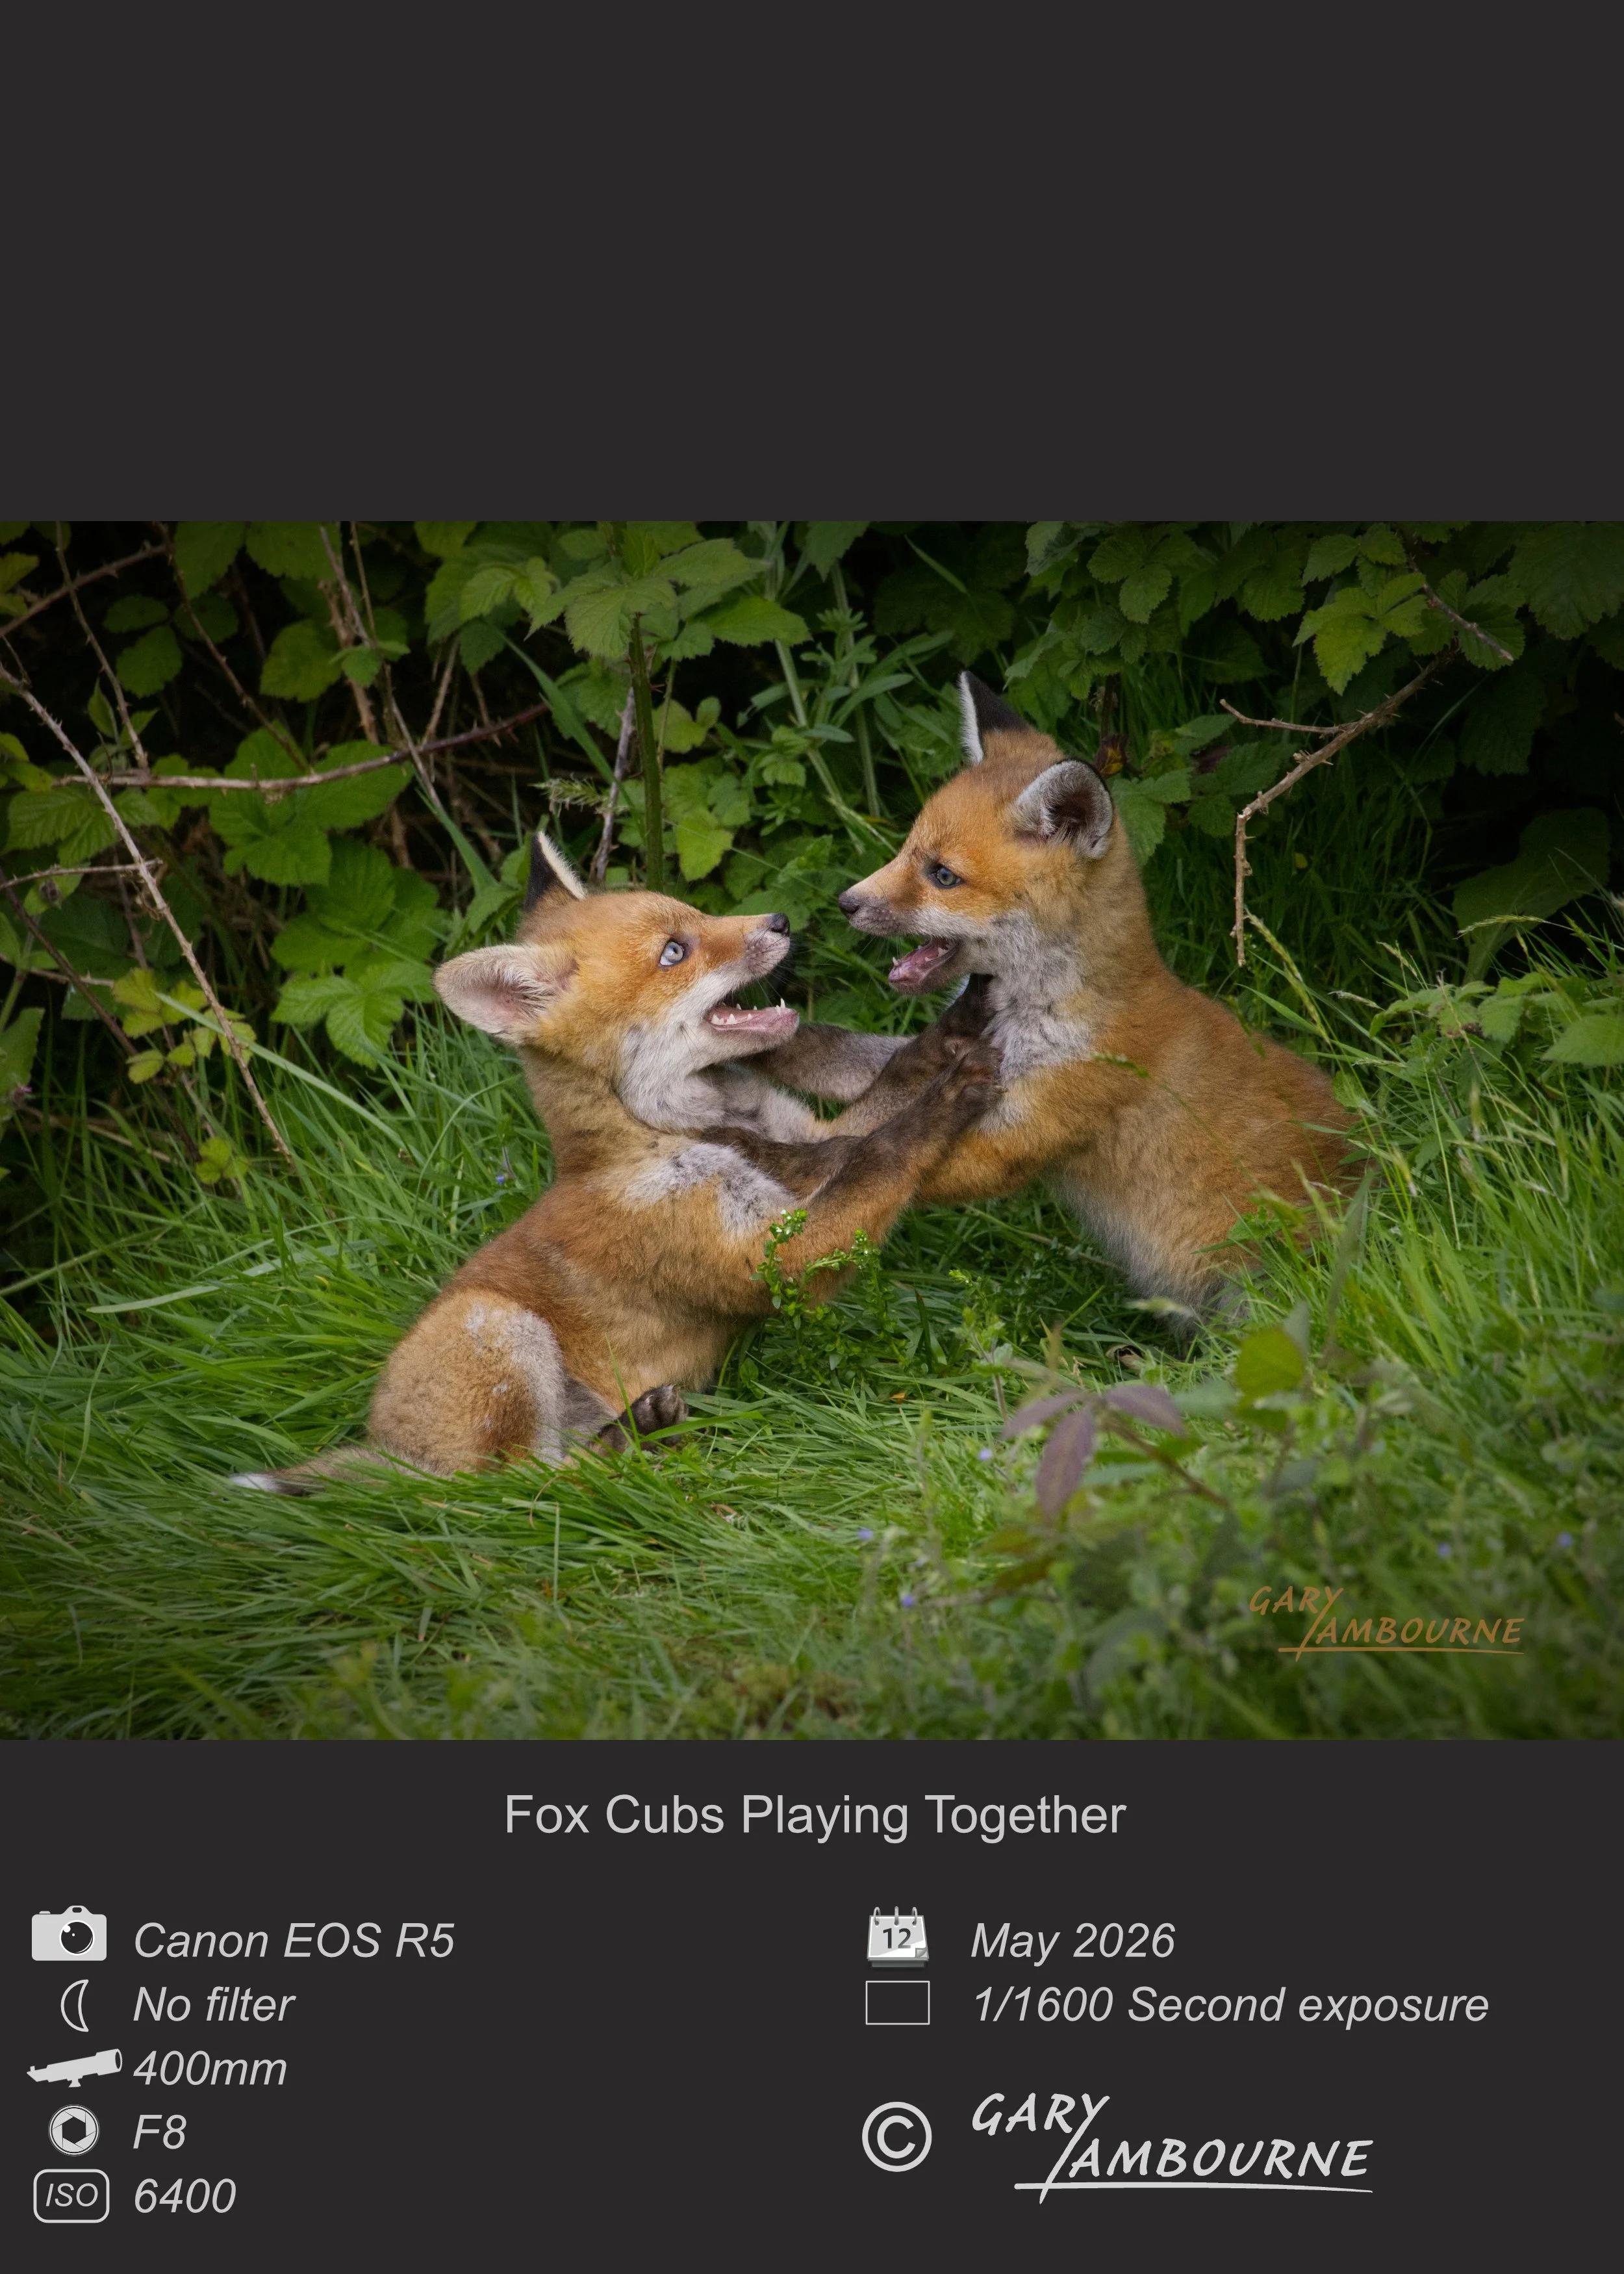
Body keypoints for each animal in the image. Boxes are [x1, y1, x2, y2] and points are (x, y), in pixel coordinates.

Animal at [232, 834, 999, 1492]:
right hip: (496, 1330)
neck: (663, 1131)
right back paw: (632, 1447)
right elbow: (881, 1151)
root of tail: (389, 1451)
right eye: (674, 952)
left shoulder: (801, 1149)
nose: (782, 920)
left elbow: (885, 1096)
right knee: (521, 1491)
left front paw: (958, 1027)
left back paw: (641, 1432)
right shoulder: (773, 1257)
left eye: (695, 916)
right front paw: (951, 1094)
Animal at [825, 672, 1355, 1312]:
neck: (1039, 1017)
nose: (845, 903)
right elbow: (862, 1081)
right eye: (906, 849)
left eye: (943, 875)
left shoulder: (1021, 1135)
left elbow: (865, 1156)